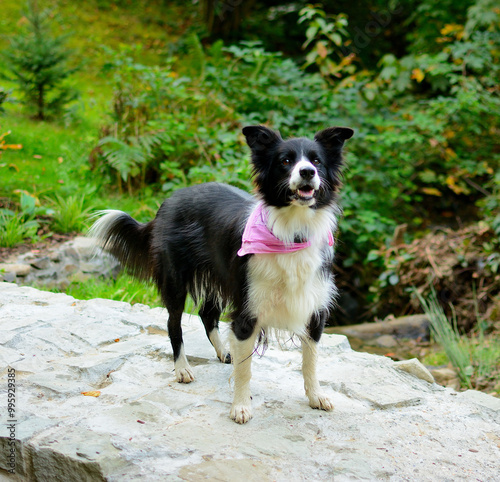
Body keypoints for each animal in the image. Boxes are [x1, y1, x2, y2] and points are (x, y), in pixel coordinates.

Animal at [91, 126, 356, 424]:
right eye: (285, 161)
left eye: (317, 161)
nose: (308, 172)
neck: (292, 232)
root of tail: (167, 202)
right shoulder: (247, 311)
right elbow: (245, 369)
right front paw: (240, 407)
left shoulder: (313, 307)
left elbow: (310, 360)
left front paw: (316, 396)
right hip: (175, 279)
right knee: (174, 323)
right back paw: (182, 369)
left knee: (207, 314)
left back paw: (222, 352)